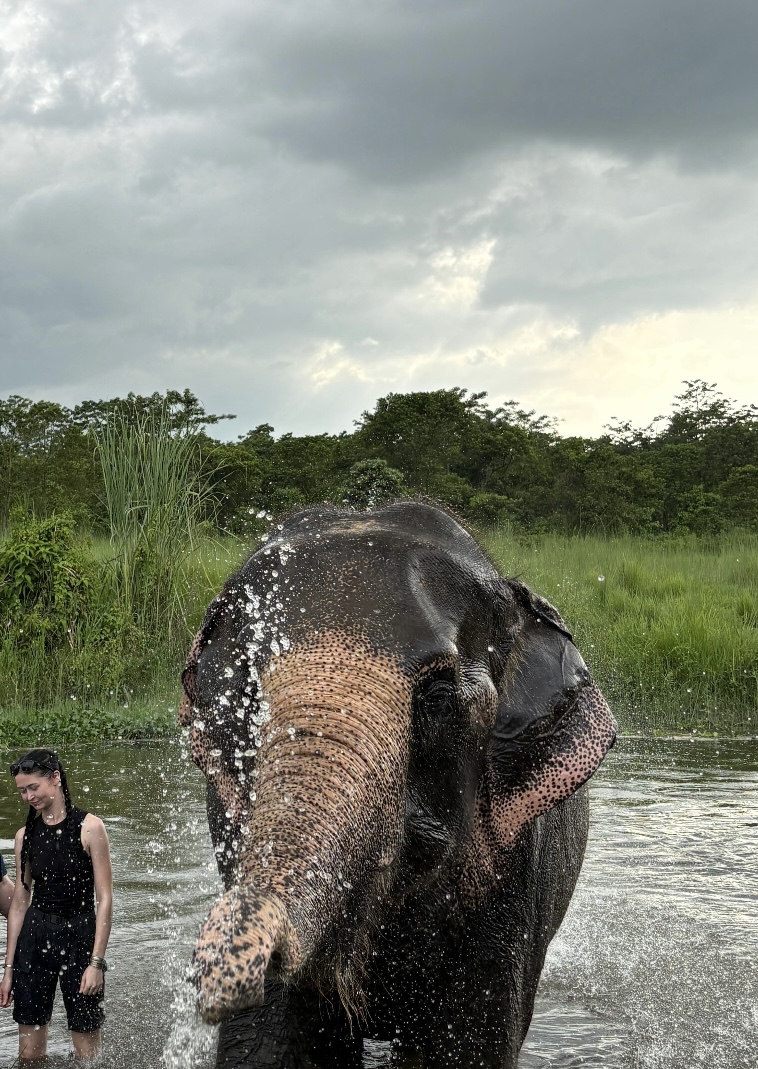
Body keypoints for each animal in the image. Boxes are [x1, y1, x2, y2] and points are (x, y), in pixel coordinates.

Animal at [179, 502, 616, 1068]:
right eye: (245, 695)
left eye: (437, 697)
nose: (218, 960)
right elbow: (273, 1045)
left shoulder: (511, 871)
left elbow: (467, 1047)